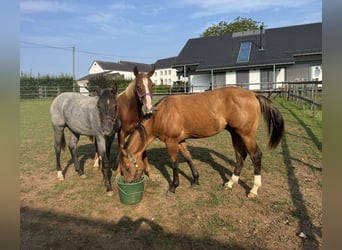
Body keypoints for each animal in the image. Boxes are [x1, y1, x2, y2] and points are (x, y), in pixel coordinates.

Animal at [117, 87, 284, 198]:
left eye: (127, 167)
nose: (128, 183)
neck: (161, 114)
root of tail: (253, 94)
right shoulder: (180, 141)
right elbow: (188, 158)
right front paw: (195, 180)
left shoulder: (171, 142)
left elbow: (174, 164)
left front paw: (173, 187)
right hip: (235, 133)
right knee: (240, 155)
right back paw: (230, 183)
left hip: (247, 135)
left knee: (255, 155)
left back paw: (253, 190)